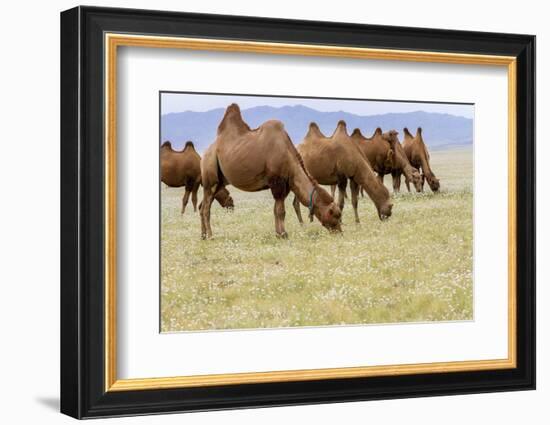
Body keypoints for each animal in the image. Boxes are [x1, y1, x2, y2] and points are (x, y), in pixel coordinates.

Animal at [201, 104, 342, 238]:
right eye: (334, 215)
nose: (339, 232)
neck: (288, 157)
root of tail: (205, 153)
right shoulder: (277, 183)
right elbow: (281, 211)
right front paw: (284, 234)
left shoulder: (284, 185)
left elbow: (276, 210)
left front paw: (278, 234)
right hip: (210, 174)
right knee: (206, 208)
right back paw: (210, 236)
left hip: (220, 182)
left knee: (203, 206)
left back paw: (203, 235)